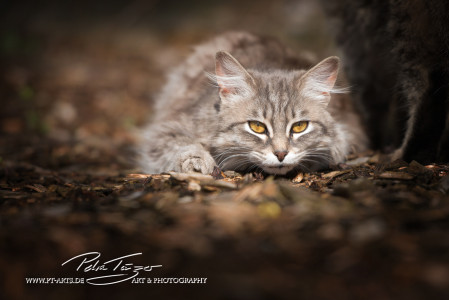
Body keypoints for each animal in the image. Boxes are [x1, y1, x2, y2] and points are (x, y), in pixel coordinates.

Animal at [138, 31, 366, 175]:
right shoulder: (165, 128)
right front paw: (198, 162)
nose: (281, 154)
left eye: (300, 126)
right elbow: (180, 144)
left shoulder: (346, 129)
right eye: (257, 127)